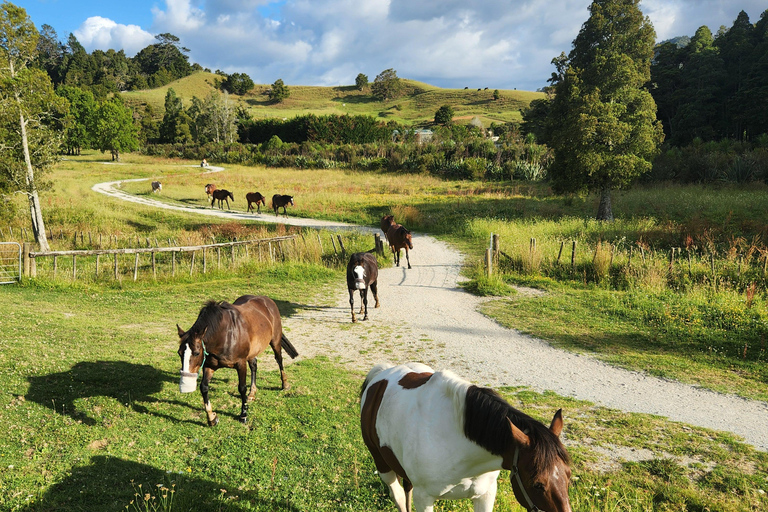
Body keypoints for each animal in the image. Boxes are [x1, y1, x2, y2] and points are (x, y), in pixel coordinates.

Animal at [177, 295, 299, 426]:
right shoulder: (209, 365)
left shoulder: (241, 363)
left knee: (279, 359)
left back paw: (285, 384)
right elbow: (204, 387)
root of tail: (267, 300)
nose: (185, 384)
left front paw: (243, 415)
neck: (224, 335)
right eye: (179, 353)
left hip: (275, 340)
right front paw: (212, 418)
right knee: (254, 365)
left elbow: (242, 388)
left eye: (196, 353)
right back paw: (252, 393)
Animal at [360, 362, 573, 512]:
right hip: (382, 464)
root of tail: (381, 374)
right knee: (397, 496)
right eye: (537, 484)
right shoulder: (424, 498)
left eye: (569, 475)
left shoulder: (485, 494)